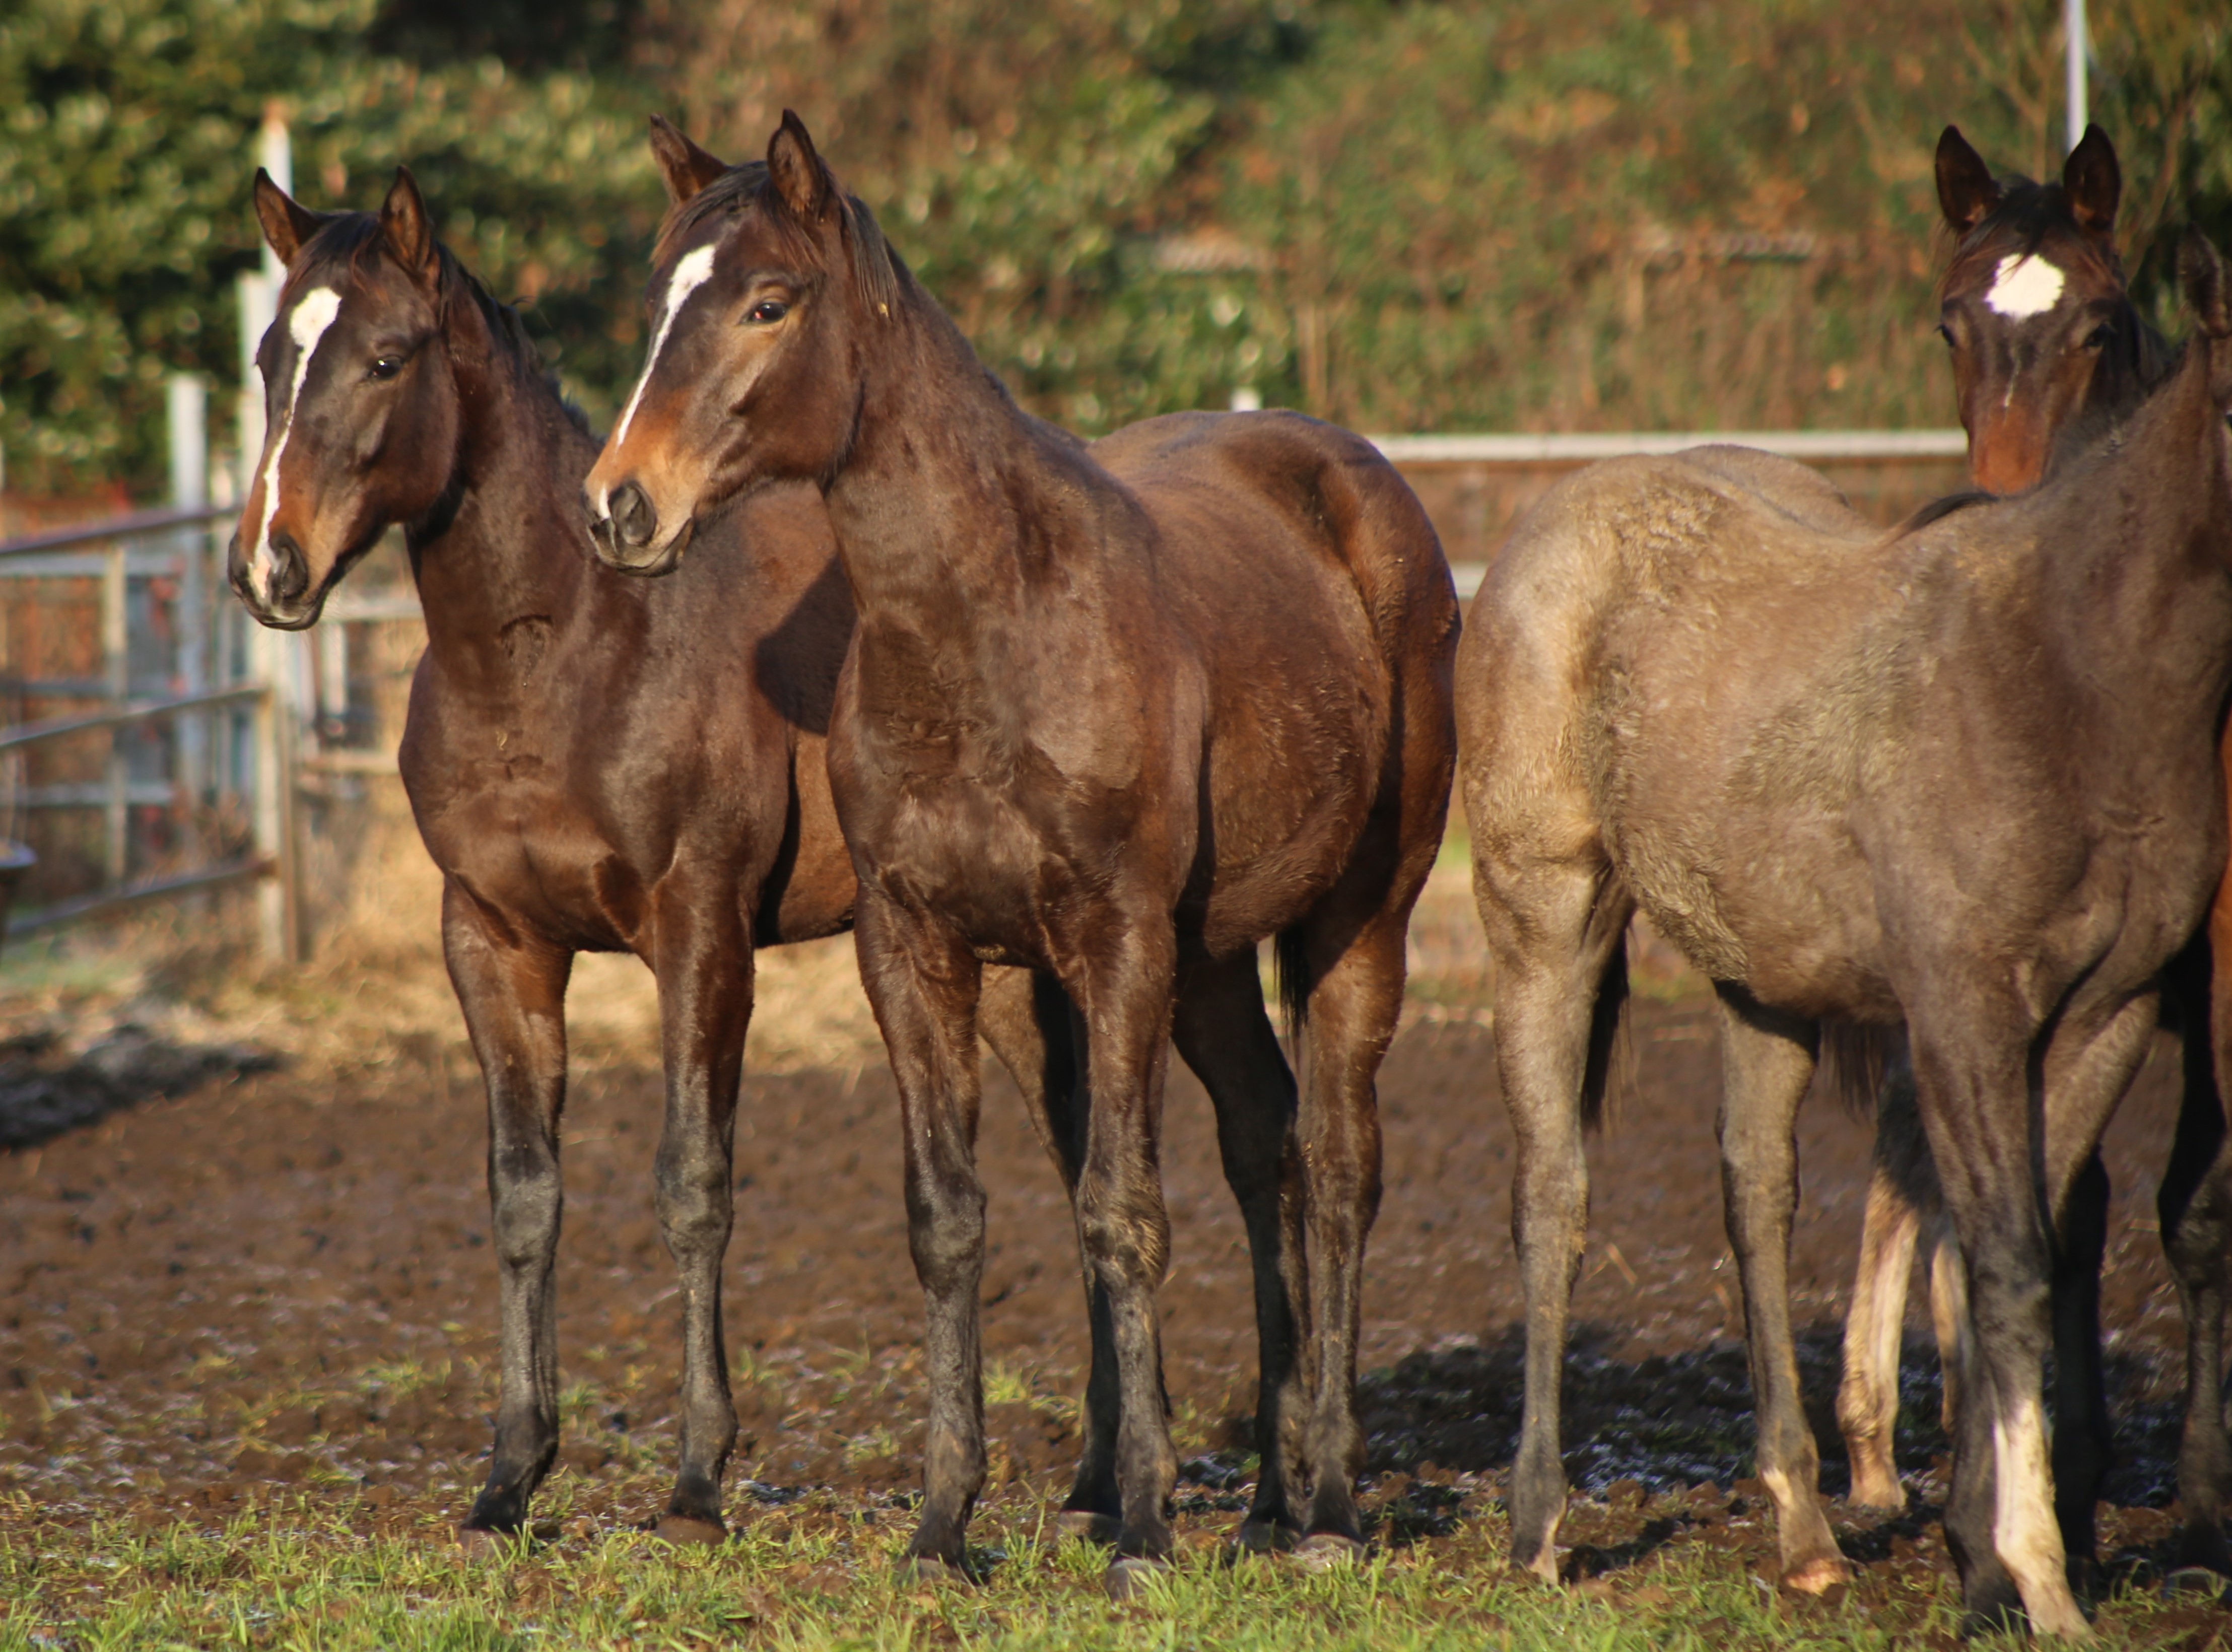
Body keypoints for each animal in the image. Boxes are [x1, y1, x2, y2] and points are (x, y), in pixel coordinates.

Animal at [576, 112, 1455, 1589]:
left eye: (768, 302)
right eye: (655, 301)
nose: (619, 506)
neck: (992, 628)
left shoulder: (1117, 944)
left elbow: (1121, 1211)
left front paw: (1144, 1532)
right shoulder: (918, 950)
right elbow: (948, 1222)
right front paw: (945, 1526)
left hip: (1357, 923)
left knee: (1338, 1166)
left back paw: (1328, 1507)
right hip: (1211, 961)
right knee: (1265, 1141)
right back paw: (1269, 1503)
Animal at [1455, 232, 2232, 1643]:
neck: (2070, 675)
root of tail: (1555, 517)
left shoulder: (2109, 1017)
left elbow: (2014, 1259)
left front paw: (1985, 1559)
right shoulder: (1967, 1016)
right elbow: (2008, 1262)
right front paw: (2036, 1574)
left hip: (1757, 977)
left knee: (1754, 1191)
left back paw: (1806, 1525)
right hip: (1544, 914)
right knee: (1552, 1191)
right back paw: (1537, 1527)